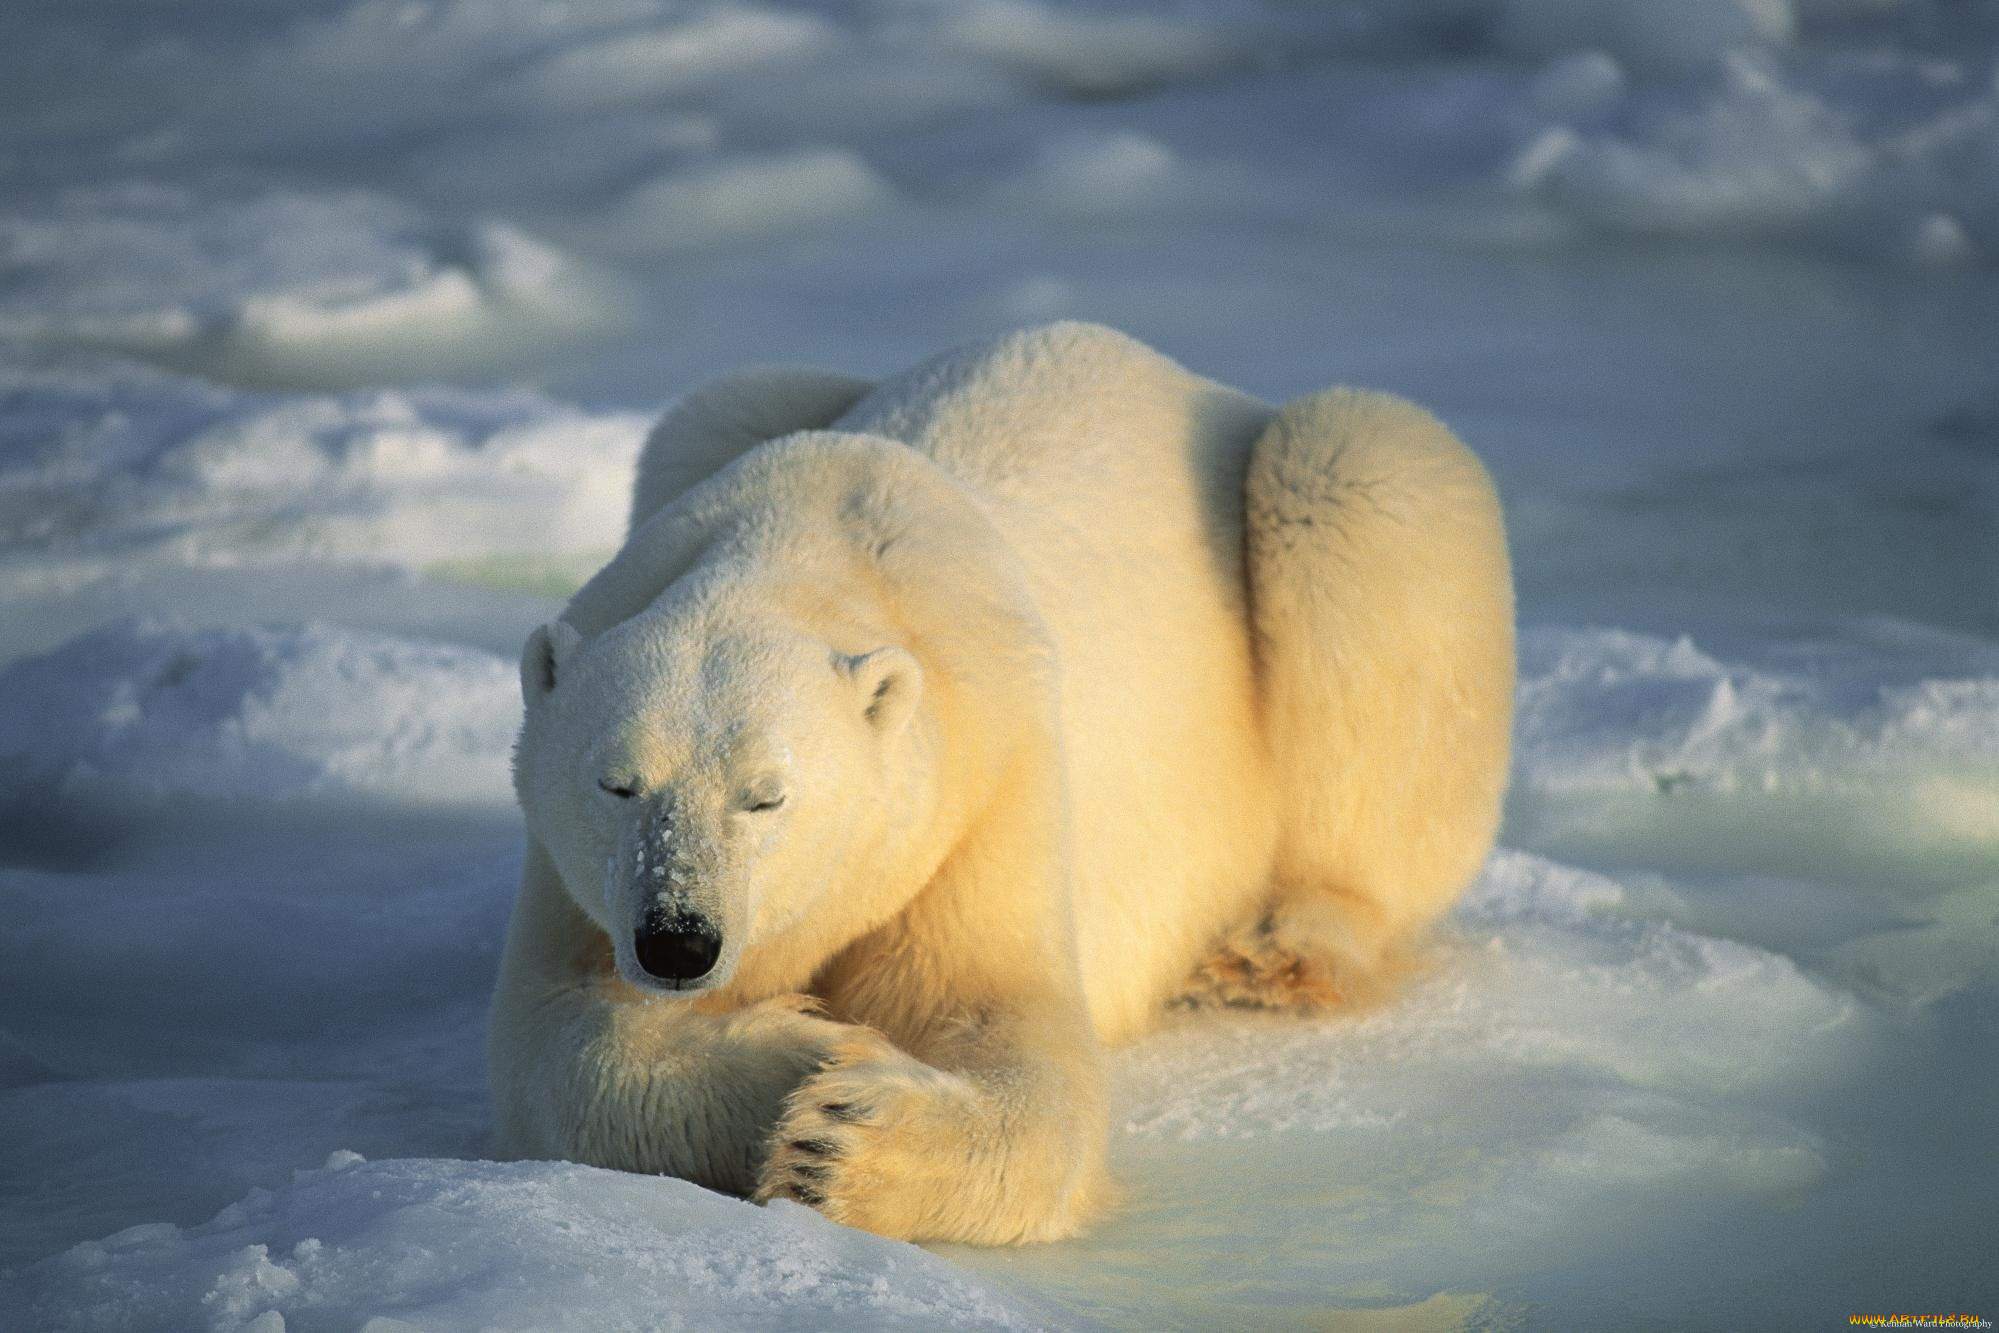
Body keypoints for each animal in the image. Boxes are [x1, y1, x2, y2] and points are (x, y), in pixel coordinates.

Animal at [488, 322, 1514, 1245]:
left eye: (766, 794)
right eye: (617, 784)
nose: (678, 940)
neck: (810, 545)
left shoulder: (986, 779)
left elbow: (1007, 1024)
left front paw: (838, 1139)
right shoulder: (576, 876)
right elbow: (554, 1038)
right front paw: (805, 1049)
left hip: (1333, 505)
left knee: (1359, 481)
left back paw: (1279, 949)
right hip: (727, 413)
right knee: (715, 401)